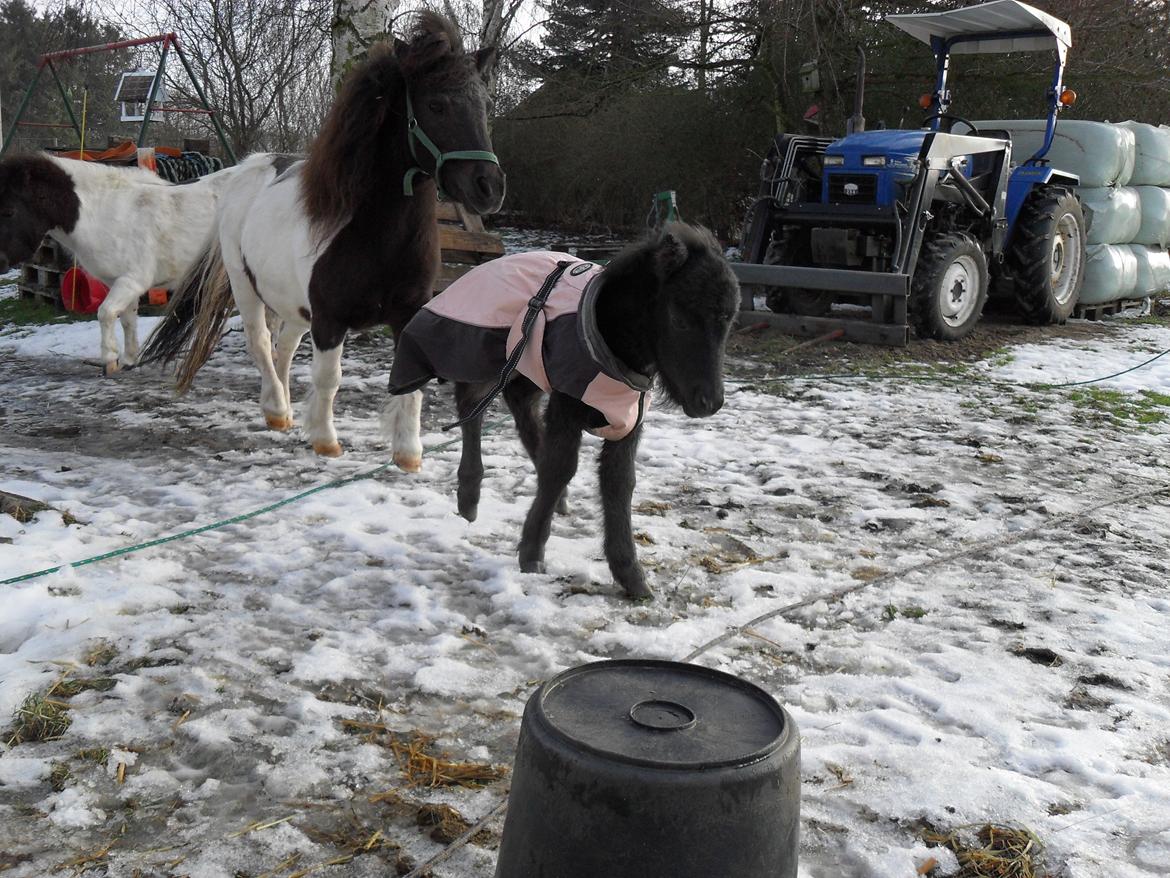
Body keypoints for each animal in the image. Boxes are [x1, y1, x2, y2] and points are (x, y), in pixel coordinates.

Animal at [0, 155, 235, 374]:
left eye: (9, 211)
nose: (1, 263)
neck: (103, 213)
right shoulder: (121, 283)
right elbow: (127, 319)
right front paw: (129, 360)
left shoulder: (133, 281)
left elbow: (106, 313)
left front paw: (110, 359)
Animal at [140, 13, 503, 470]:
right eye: (436, 104)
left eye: (483, 106)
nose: (489, 188)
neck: (374, 235)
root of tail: (247, 169)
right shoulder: (330, 319)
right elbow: (329, 378)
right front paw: (327, 442)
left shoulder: (406, 313)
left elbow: (410, 382)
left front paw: (408, 453)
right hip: (246, 290)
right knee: (261, 345)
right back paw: (277, 411)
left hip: (292, 306)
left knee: (282, 349)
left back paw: (284, 411)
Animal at [393, 223, 739, 604]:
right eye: (679, 319)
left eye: (729, 322)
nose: (709, 401)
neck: (608, 339)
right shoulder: (567, 402)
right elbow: (560, 467)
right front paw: (532, 553)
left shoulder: (627, 418)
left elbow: (619, 481)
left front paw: (631, 575)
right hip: (484, 353)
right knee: (472, 405)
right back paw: (469, 495)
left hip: (527, 368)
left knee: (521, 410)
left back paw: (551, 499)